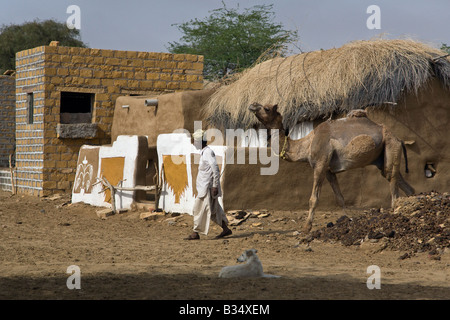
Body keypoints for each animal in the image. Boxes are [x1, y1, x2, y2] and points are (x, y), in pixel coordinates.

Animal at [250, 102, 414, 232]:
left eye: (266, 108)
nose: (252, 104)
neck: (307, 144)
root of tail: (399, 139)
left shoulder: (320, 164)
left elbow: (313, 198)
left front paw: (306, 227)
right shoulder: (329, 170)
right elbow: (339, 198)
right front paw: (347, 220)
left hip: (391, 147)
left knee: (393, 185)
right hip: (383, 158)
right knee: (404, 185)